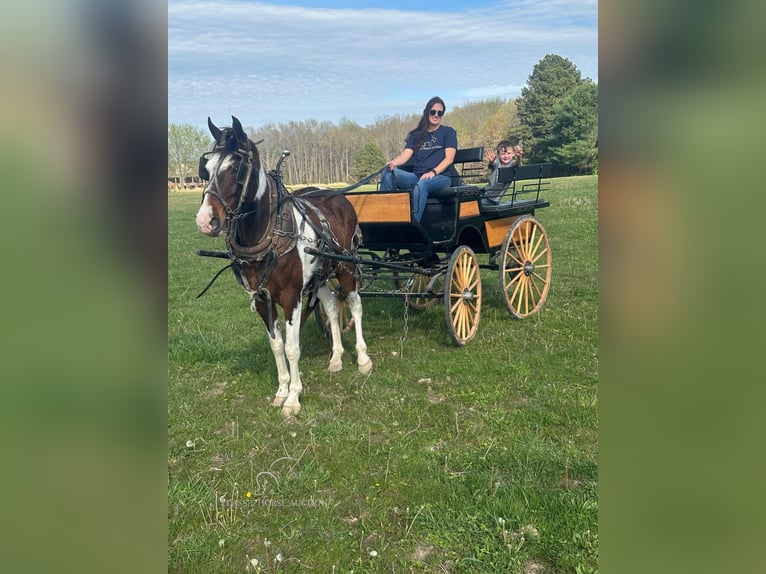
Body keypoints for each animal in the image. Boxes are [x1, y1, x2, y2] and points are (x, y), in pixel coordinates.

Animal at [196, 116, 374, 418]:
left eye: (236, 168)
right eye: (206, 169)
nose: (205, 220)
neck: (269, 233)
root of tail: (337, 196)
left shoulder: (291, 297)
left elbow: (292, 347)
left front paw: (293, 398)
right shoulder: (261, 298)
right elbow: (276, 345)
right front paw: (281, 390)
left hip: (345, 267)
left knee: (355, 305)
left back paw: (362, 359)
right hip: (319, 276)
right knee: (330, 305)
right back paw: (337, 357)